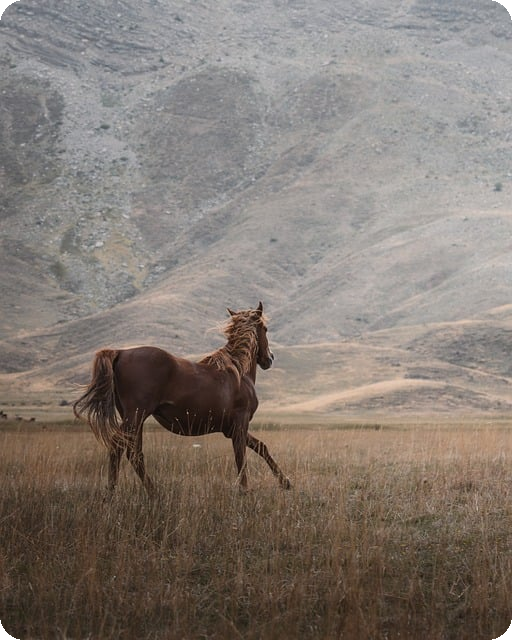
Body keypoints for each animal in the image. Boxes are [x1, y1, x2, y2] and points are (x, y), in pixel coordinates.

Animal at [73, 302, 291, 495]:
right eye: (265, 328)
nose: (269, 359)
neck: (238, 372)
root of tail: (120, 353)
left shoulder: (230, 429)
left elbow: (261, 447)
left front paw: (285, 482)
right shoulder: (240, 423)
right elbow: (241, 457)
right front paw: (245, 489)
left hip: (135, 418)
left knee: (134, 453)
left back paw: (151, 491)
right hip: (135, 415)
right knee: (119, 446)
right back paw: (114, 491)